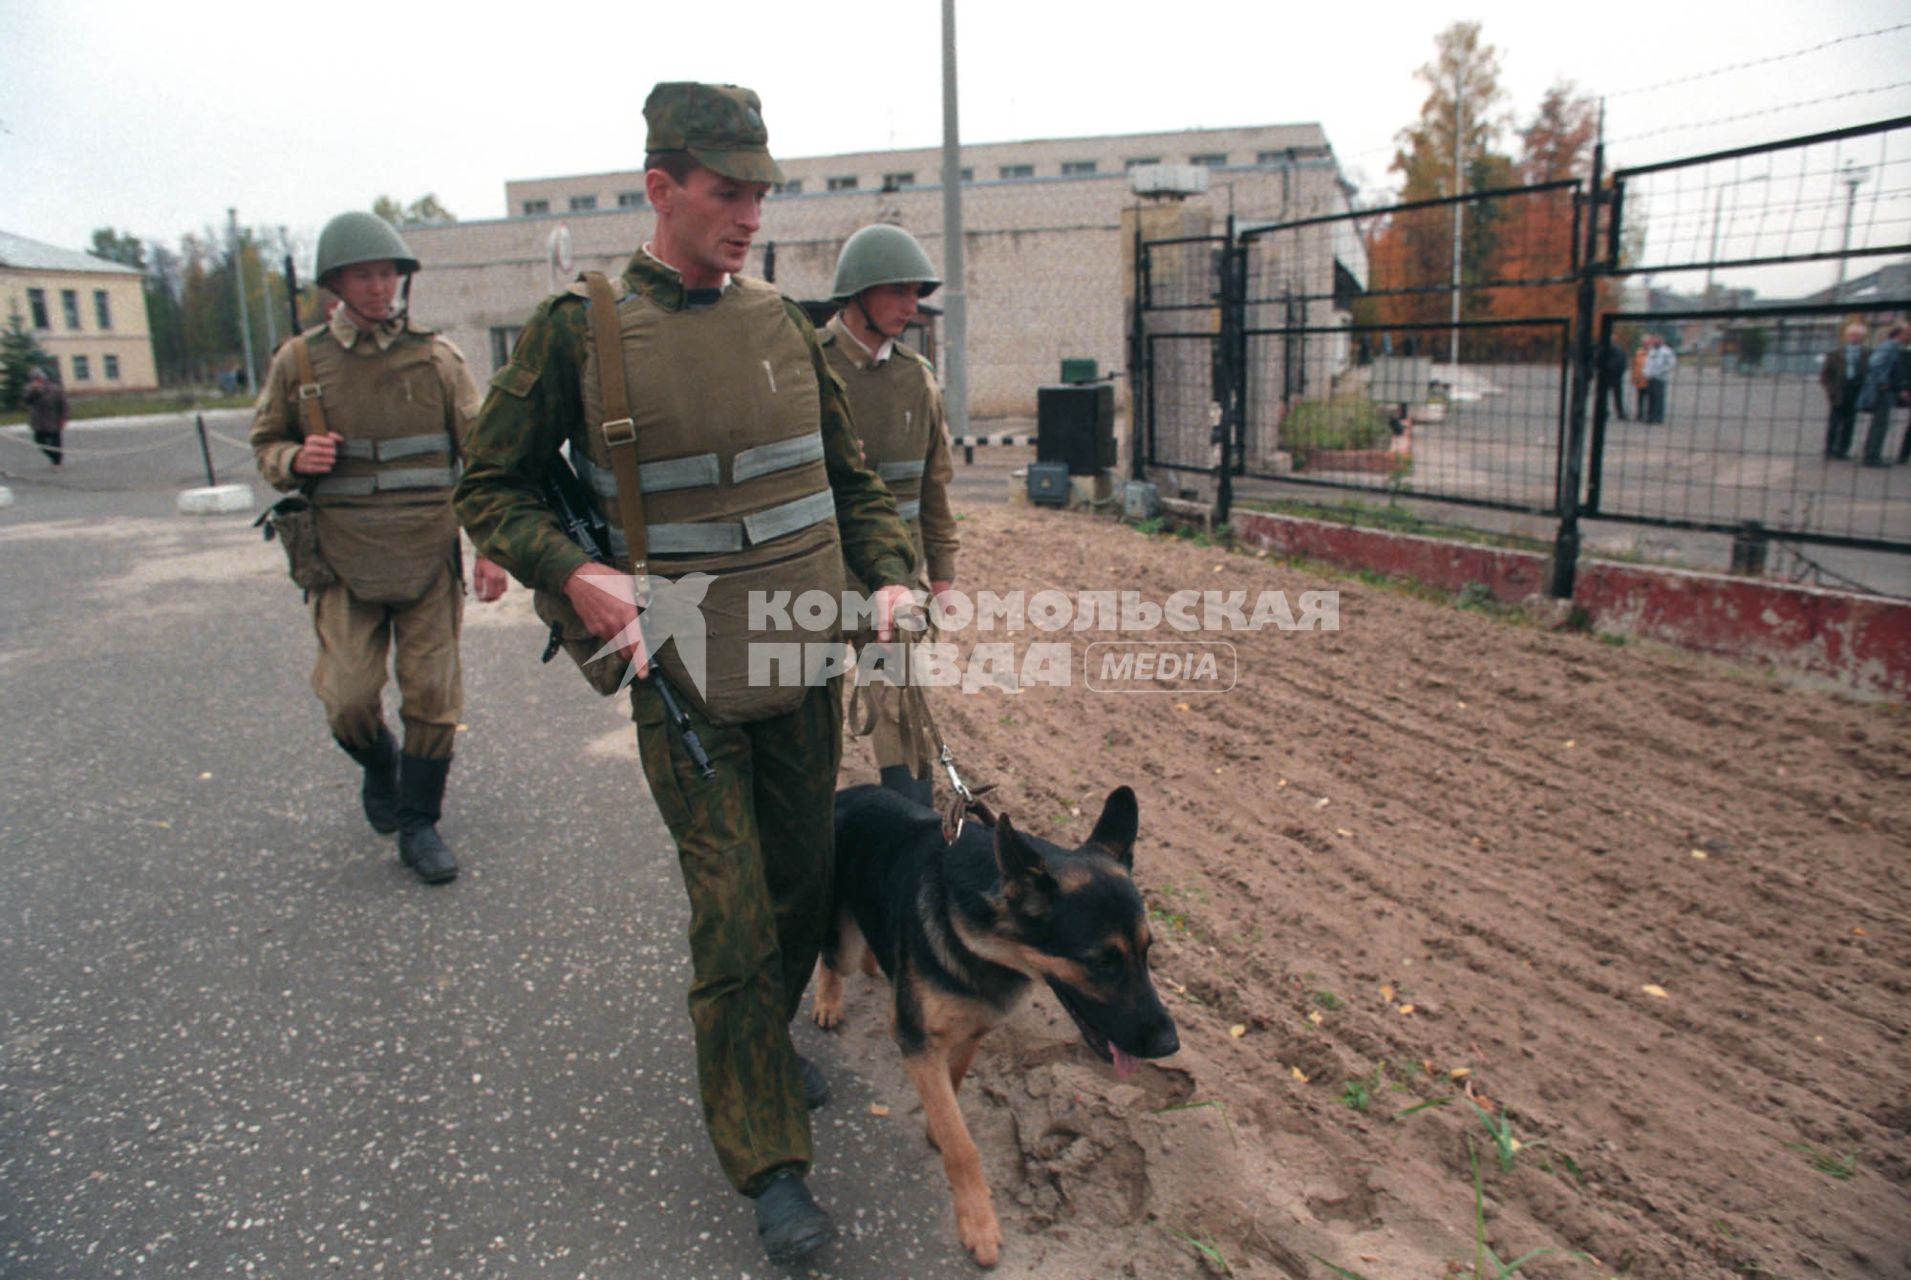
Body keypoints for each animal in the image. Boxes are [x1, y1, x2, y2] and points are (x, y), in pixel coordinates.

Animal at [810, 787, 1177, 1268]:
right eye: (1102, 962)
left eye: (1147, 951)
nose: (1170, 1043)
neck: (989, 942)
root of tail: (848, 791)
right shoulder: (919, 1042)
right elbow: (962, 1145)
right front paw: (978, 1224)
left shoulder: (972, 1031)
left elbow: (952, 1089)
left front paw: (937, 1126)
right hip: (843, 942)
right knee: (830, 955)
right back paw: (827, 1000)